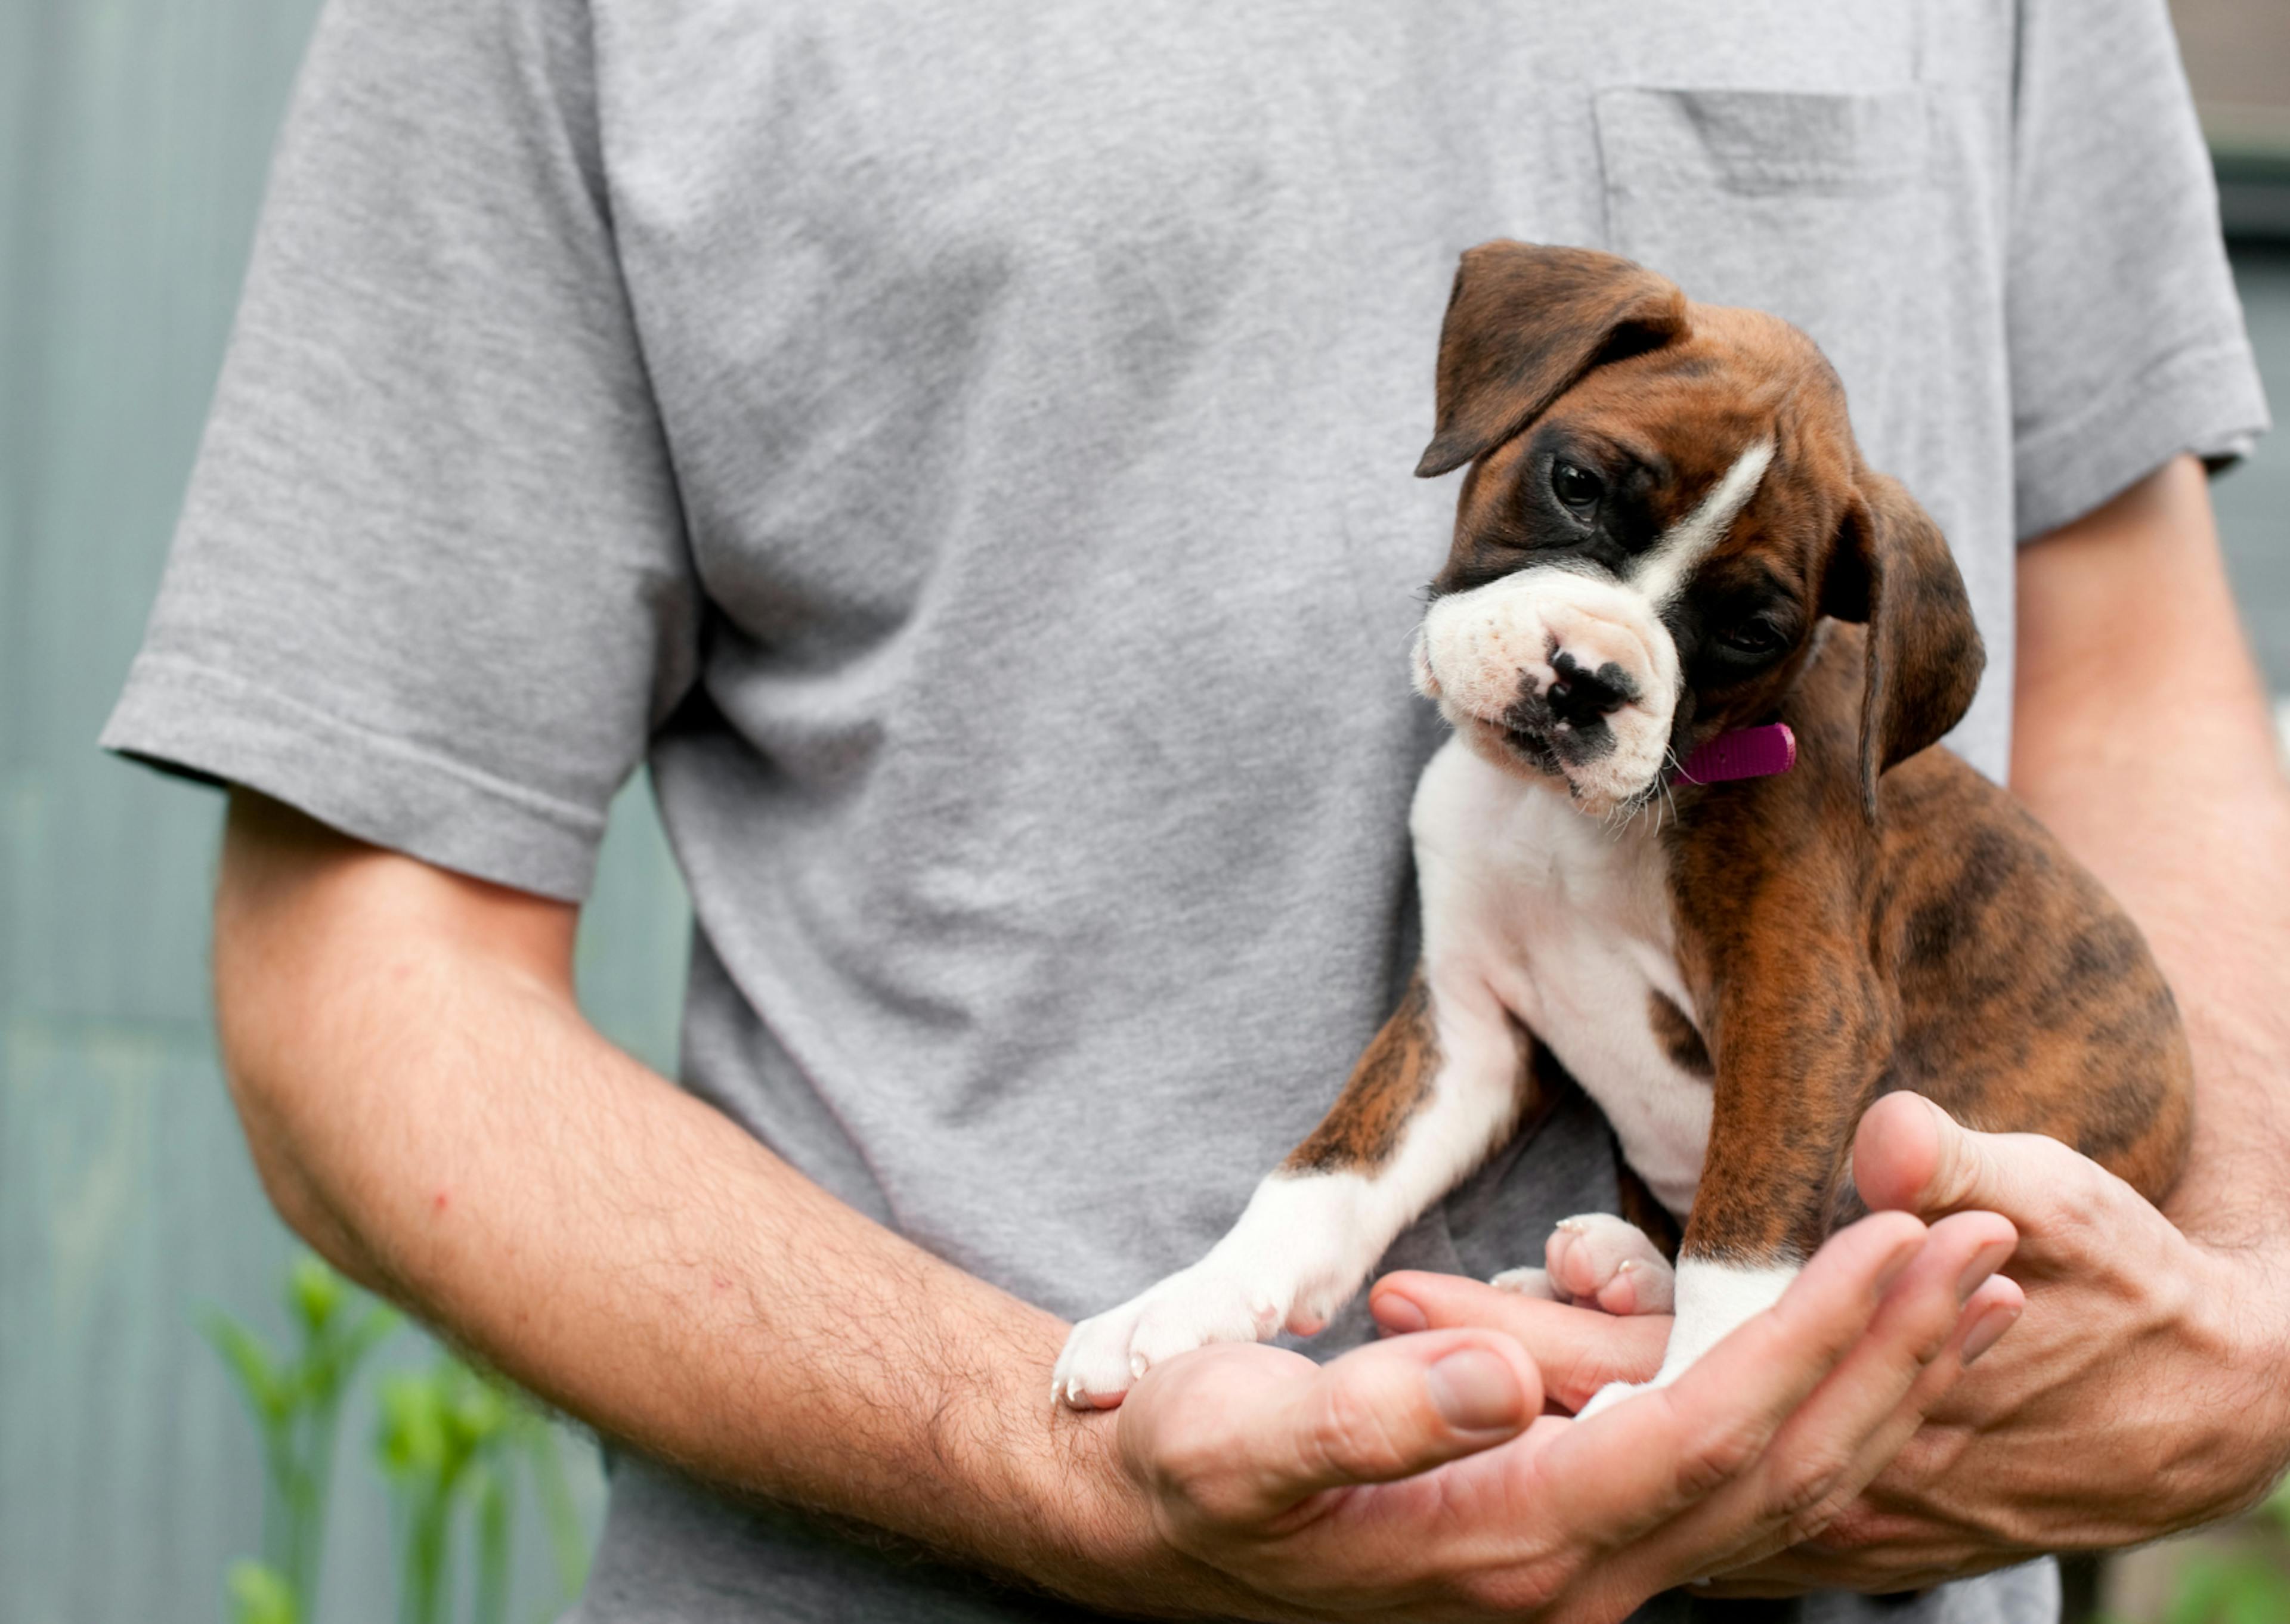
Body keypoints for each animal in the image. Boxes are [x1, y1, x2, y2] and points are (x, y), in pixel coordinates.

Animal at [1062, 240, 2189, 1402]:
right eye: (1576, 484)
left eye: (1752, 630)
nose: (1587, 678)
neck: (1558, 816)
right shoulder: (1467, 1028)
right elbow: (1328, 1168)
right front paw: (1184, 1302)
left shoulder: (1802, 1007)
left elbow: (1745, 1234)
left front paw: (1706, 1394)